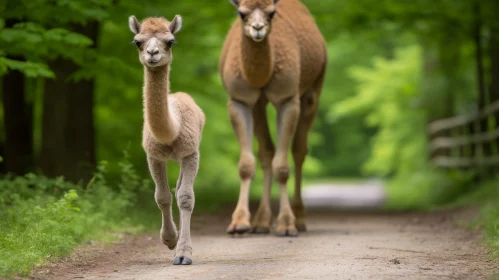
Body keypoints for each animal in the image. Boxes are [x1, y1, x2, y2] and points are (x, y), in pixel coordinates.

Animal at [131, 14, 207, 264]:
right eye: (137, 41)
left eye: (170, 41)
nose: (152, 53)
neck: (171, 131)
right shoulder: (153, 155)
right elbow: (162, 196)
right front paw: (169, 240)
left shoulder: (191, 152)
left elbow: (186, 197)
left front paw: (183, 254)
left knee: (182, 188)